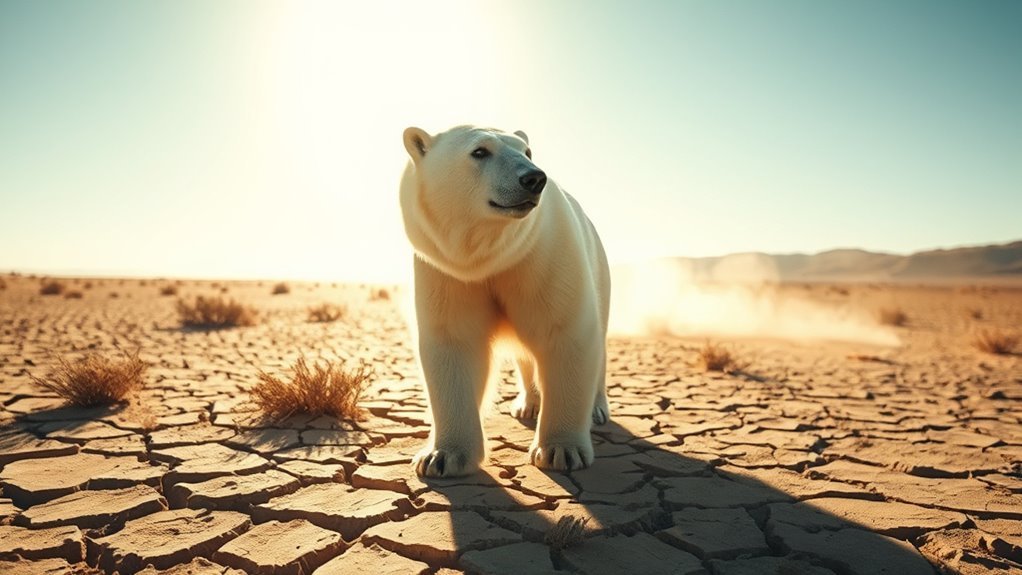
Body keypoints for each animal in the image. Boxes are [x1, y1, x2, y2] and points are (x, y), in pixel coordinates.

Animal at [400, 125, 611, 477]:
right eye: (480, 151)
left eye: (527, 151)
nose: (534, 178)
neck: (492, 256)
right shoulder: (446, 271)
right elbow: (453, 341)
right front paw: (440, 458)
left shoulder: (543, 255)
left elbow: (564, 332)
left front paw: (561, 450)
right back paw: (529, 404)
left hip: (599, 267)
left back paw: (596, 409)